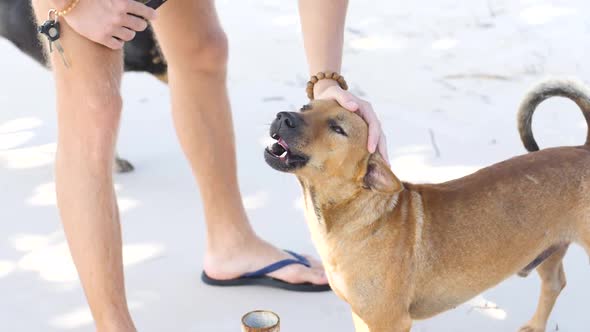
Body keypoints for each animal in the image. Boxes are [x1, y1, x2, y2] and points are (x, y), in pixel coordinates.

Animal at [266, 79, 590, 330]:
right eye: (305, 108)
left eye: (337, 129)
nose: (283, 116)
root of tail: (583, 149)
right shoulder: (363, 316)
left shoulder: (390, 322)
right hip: (549, 251)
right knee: (554, 284)